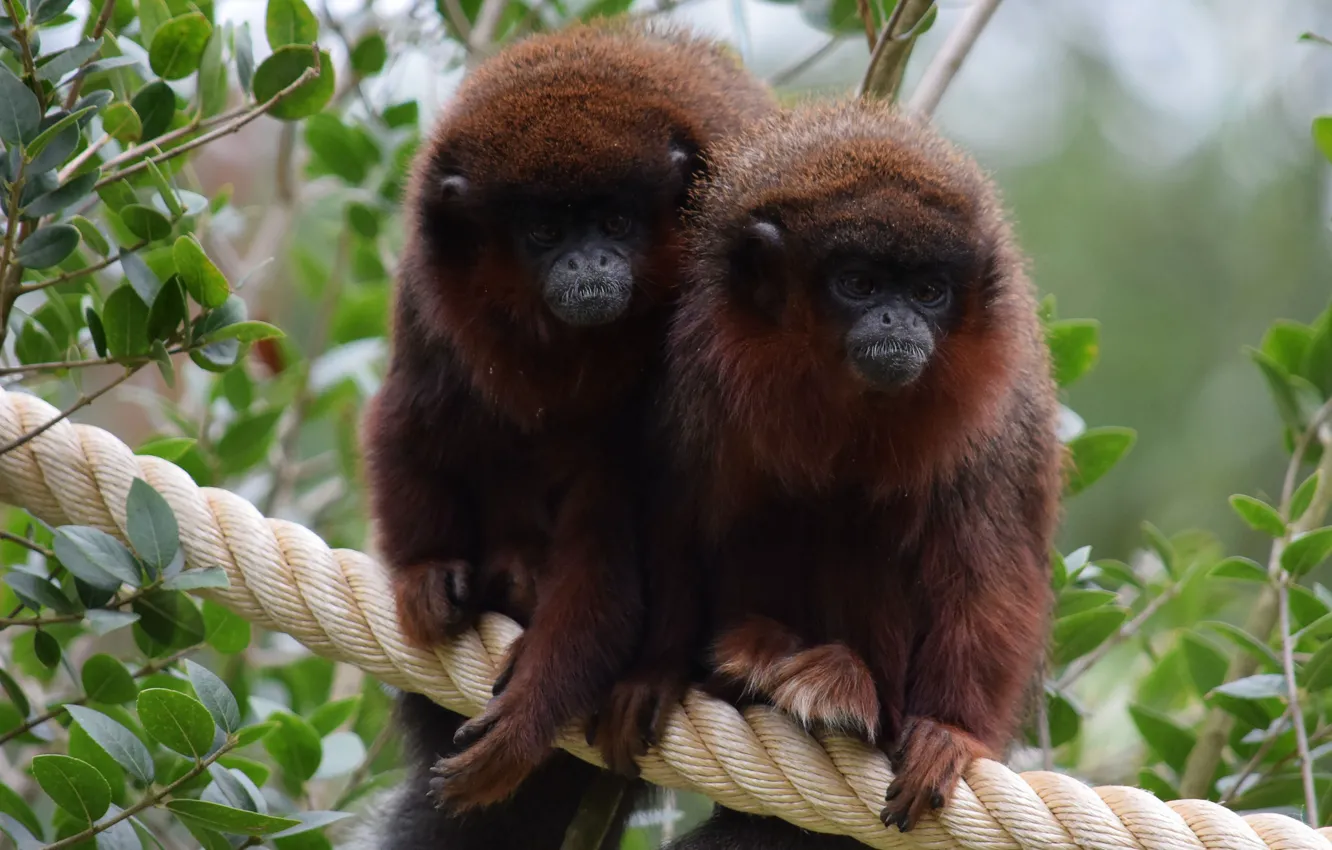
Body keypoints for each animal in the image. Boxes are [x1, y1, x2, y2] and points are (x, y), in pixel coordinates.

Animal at [358, 19, 776, 847]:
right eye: (545, 230)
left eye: (615, 222)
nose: (590, 264)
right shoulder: (430, 299)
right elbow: (413, 421)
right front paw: (425, 571)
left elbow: (616, 546)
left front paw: (529, 716)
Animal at [593, 99, 1062, 844]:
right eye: (859, 285)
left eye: (929, 291)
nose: (897, 319)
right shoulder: (694, 380)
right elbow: (675, 523)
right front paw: (657, 672)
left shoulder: (999, 418)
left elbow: (989, 573)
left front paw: (952, 731)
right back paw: (760, 658)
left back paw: (848, 690)